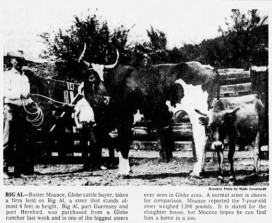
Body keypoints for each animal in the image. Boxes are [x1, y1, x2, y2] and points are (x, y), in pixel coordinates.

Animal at [77, 44, 220, 179]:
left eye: (105, 78)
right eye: (91, 77)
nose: (106, 98)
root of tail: (206, 67)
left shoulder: (124, 121)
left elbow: (123, 146)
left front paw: (123, 173)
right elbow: (119, 146)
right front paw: (123, 171)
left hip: (197, 115)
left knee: (200, 140)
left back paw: (195, 173)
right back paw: (201, 171)